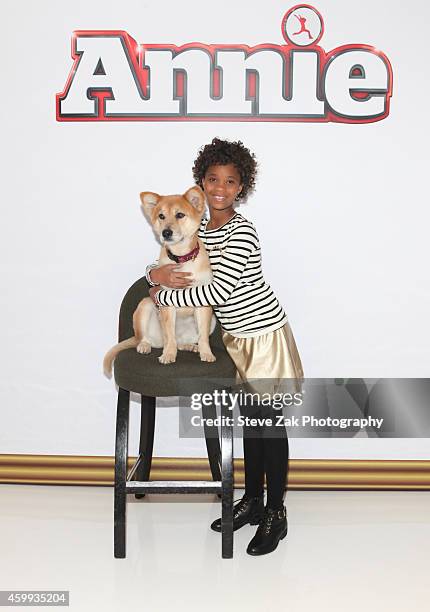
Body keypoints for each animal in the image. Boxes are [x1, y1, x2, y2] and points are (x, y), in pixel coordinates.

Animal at [103, 185, 217, 378]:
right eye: (161, 216)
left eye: (180, 215)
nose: (166, 232)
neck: (181, 258)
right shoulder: (166, 301)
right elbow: (169, 335)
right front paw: (169, 355)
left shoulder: (203, 302)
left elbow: (203, 336)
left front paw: (206, 352)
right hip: (146, 305)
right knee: (149, 339)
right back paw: (145, 345)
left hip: (212, 321)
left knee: (181, 341)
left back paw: (189, 346)